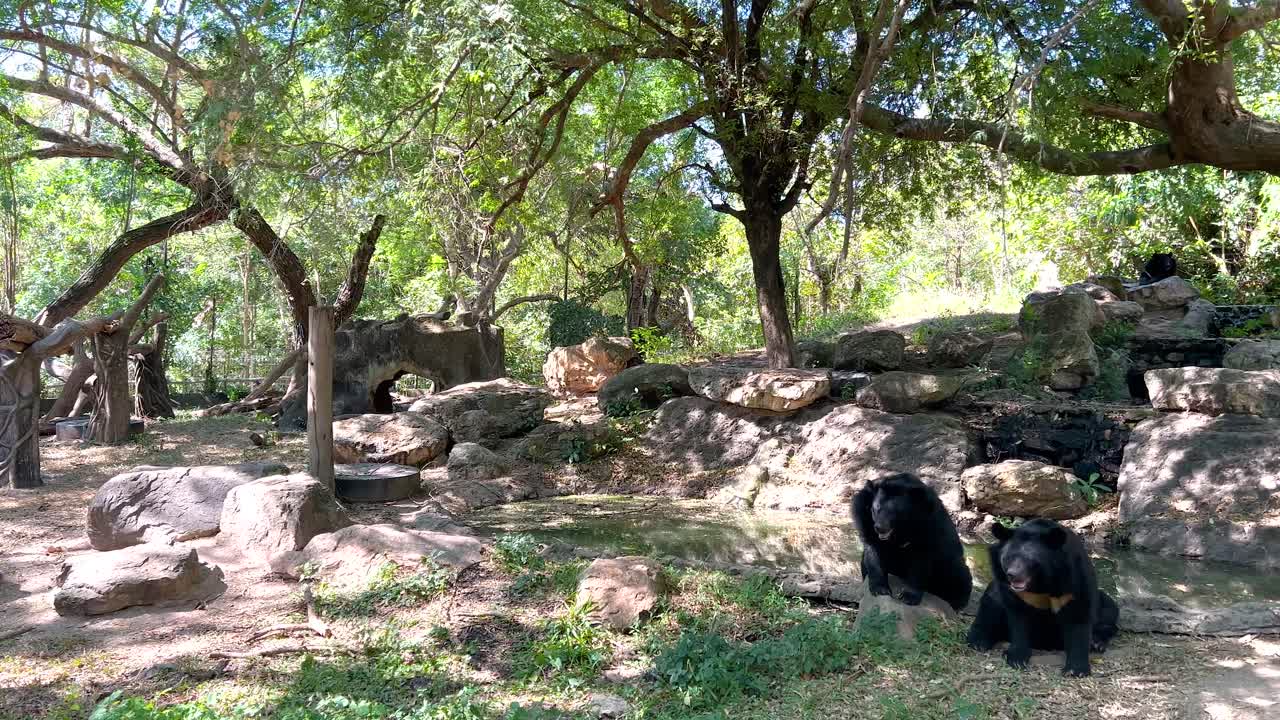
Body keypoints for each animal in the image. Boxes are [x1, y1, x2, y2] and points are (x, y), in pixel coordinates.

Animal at [851, 472, 972, 612]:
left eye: (894, 512)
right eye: (875, 509)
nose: (880, 527)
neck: (901, 530)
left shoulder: (930, 522)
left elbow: (921, 559)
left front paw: (908, 597)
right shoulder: (864, 518)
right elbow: (872, 551)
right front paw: (880, 589)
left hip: (950, 565)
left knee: (959, 577)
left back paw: (956, 604)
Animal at [966, 519, 1119, 677]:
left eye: (1029, 560)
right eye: (1008, 558)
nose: (1013, 575)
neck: (1040, 582)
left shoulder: (1074, 577)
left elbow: (1079, 616)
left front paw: (1076, 670)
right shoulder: (1013, 590)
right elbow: (1018, 618)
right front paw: (1016, 658)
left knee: (1109, 610)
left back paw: (1097, 643)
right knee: (991, 604)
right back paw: (979, 641)